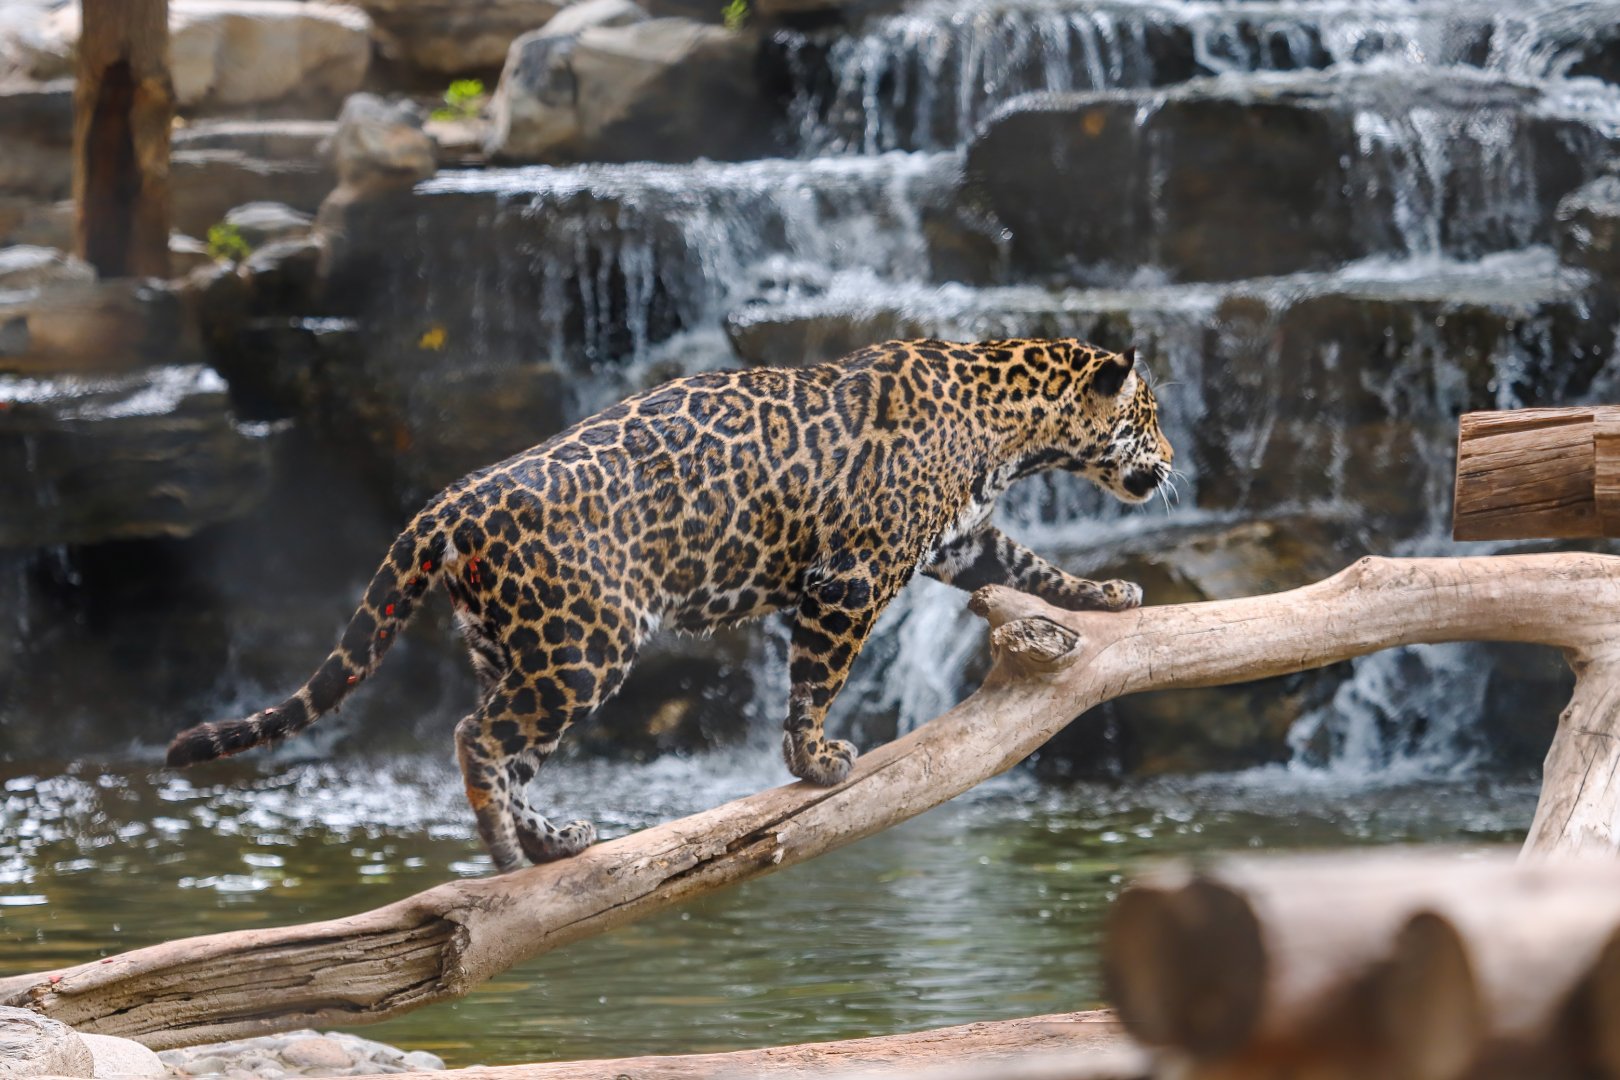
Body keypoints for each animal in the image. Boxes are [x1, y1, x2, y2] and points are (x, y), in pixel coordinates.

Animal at [167, 337, 1174, 873]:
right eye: (1152, 415)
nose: (1169, 462)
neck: (1013, 422)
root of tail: (450, 501)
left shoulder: (960, 541)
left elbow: (1030, 562)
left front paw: (1106, 591)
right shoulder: (850, 578)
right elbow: (817, 680)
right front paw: (814, 762)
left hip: (514, 643)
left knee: (506, 744)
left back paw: (553, 842)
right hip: (583, 645)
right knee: (476, 737)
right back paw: (505, 851)